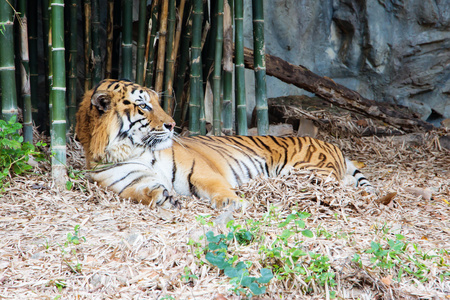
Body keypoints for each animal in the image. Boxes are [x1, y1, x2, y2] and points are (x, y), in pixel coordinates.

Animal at [76, 79, 372, 210]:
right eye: (144, 106)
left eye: (157, 103)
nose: (172, 124)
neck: (134, 150)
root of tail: (334, 146)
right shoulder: (128, 182)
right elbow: (144, 192)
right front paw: (164, 196)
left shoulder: (200, 171)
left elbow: (218, 188)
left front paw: (235, 203)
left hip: (307, 172)